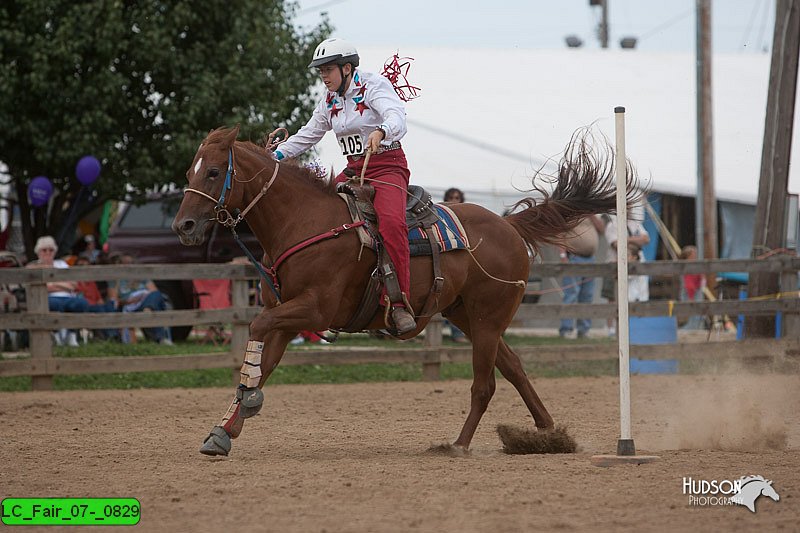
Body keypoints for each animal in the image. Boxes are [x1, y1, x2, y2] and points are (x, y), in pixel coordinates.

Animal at [172, 125, 636, 458]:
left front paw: (245, 403)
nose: (184, 226)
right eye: (190, 171)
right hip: (467, 316)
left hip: (486, 318)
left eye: (214, 172)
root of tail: (508, 225)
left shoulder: (313, 311)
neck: (305, 222)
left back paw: (459, 445)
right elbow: (264, 362)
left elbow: (256, 328)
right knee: (515, 368)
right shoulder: (288, 317)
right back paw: (547, 435)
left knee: (485, 384)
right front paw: (224, 430)